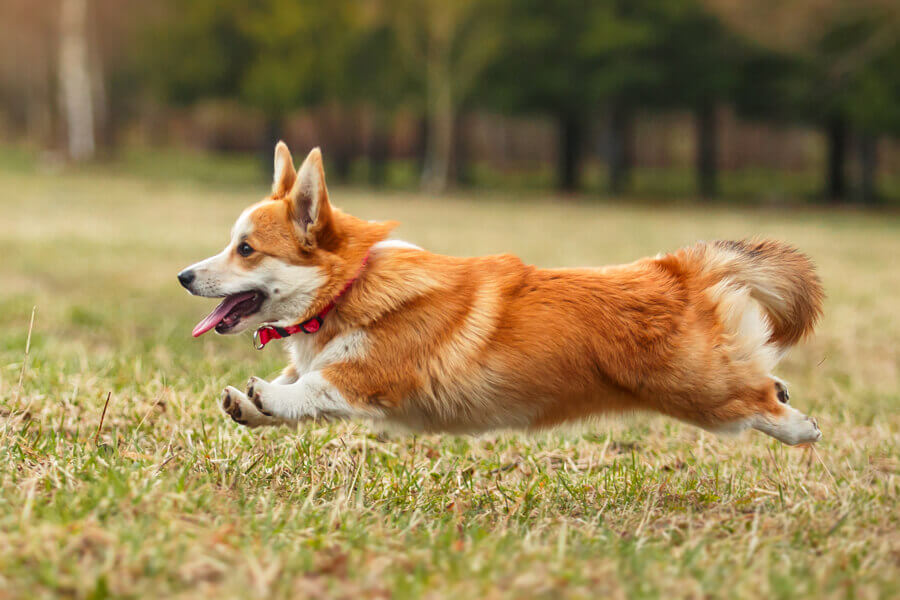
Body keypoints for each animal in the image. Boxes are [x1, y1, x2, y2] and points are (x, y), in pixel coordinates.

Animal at [176, 143, 824, 446]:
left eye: (245, 249)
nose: (183, 277)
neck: (347, 289)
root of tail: (677, 268)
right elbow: (290, 390)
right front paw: (249, 404)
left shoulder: (370, 377)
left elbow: (311, 388)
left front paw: (265, 396)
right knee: (763, 377)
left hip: (698, 391)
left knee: (756, 397)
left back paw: (802, 427)